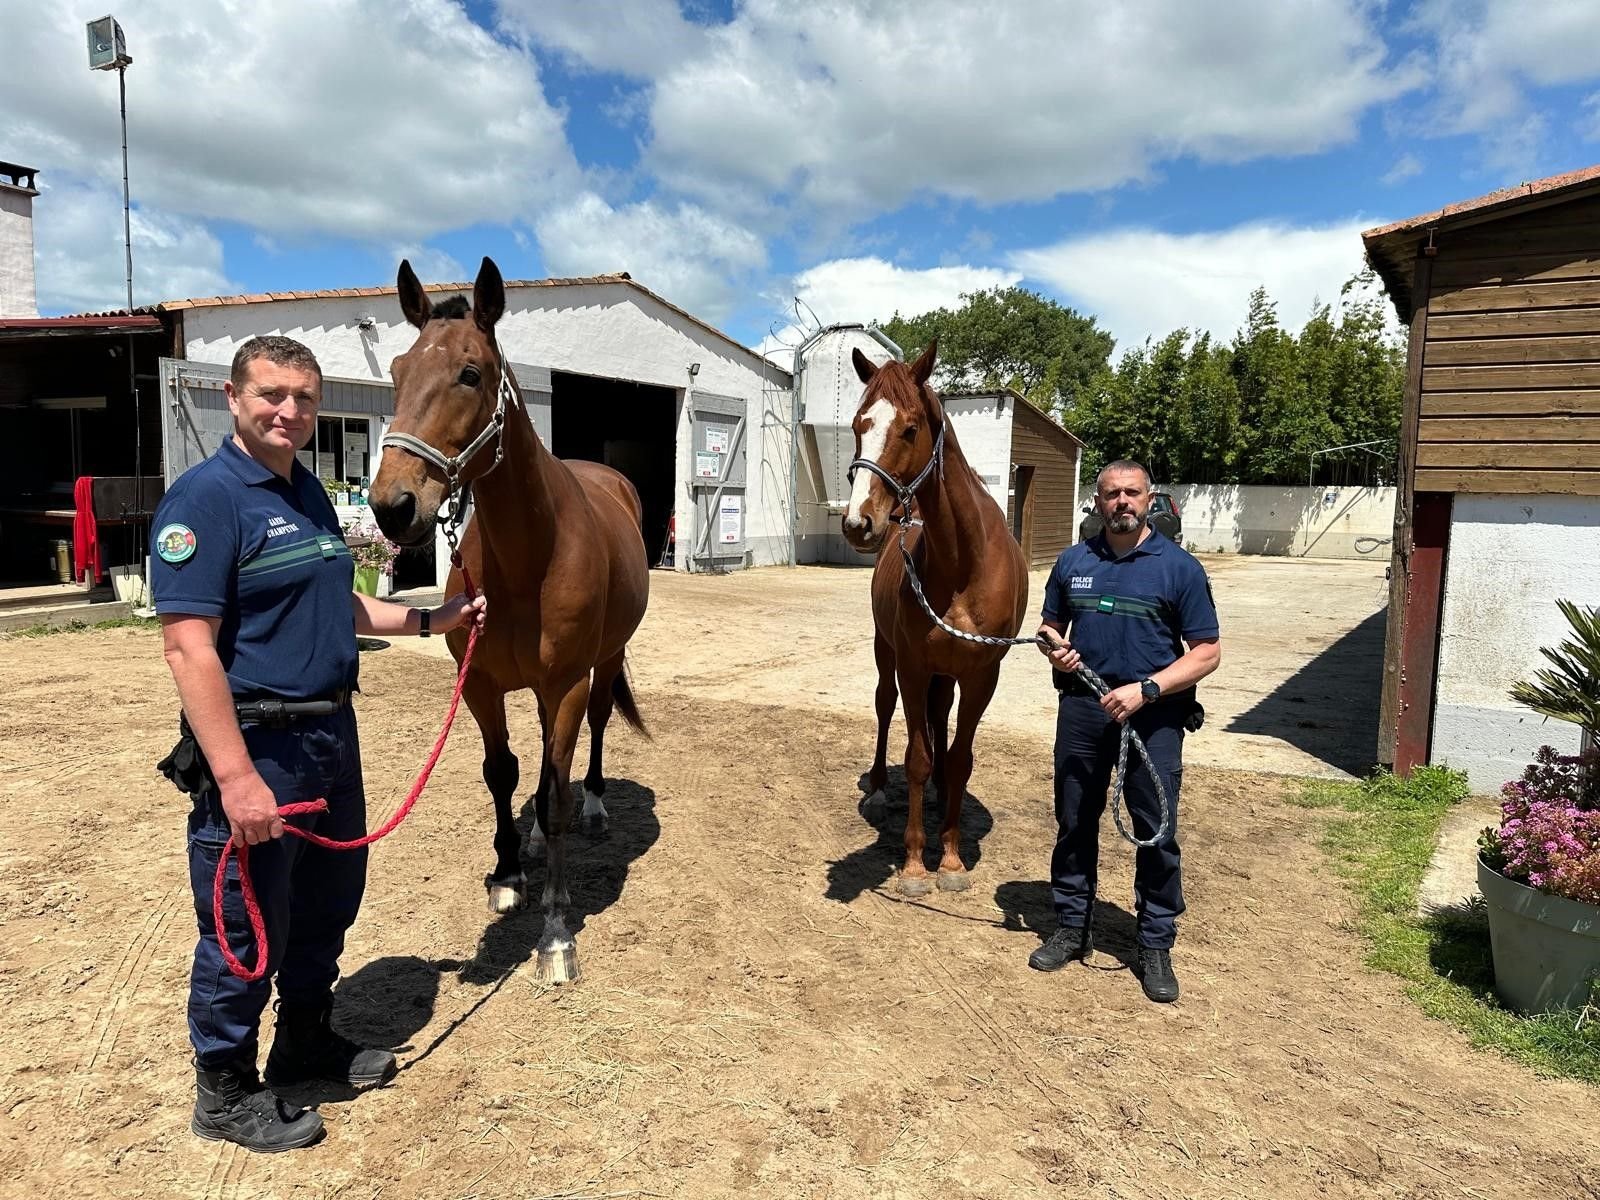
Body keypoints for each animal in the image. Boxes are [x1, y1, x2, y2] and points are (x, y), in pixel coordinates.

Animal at [368, 259, 649, 979]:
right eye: (398, 369)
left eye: (470, 373)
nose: (392, 507)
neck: (531, 556)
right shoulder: (481, 683)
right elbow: (504, 772)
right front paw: (506, 873)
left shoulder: (567, 682)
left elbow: (556, 790)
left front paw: (555, 931)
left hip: (603, 663)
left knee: (594, 734)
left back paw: (594, 807)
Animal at [844, 339, 1030, 896]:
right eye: (858, 424)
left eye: (909, 428)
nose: (858, 522)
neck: (963, 561)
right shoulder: (912, 666)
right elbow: (917, 757)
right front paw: (912, 865)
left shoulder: (982, 674)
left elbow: (961, 756)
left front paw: (948, 858)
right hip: (886, 652)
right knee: (885, 709)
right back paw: (879, 788)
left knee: (943, 720)